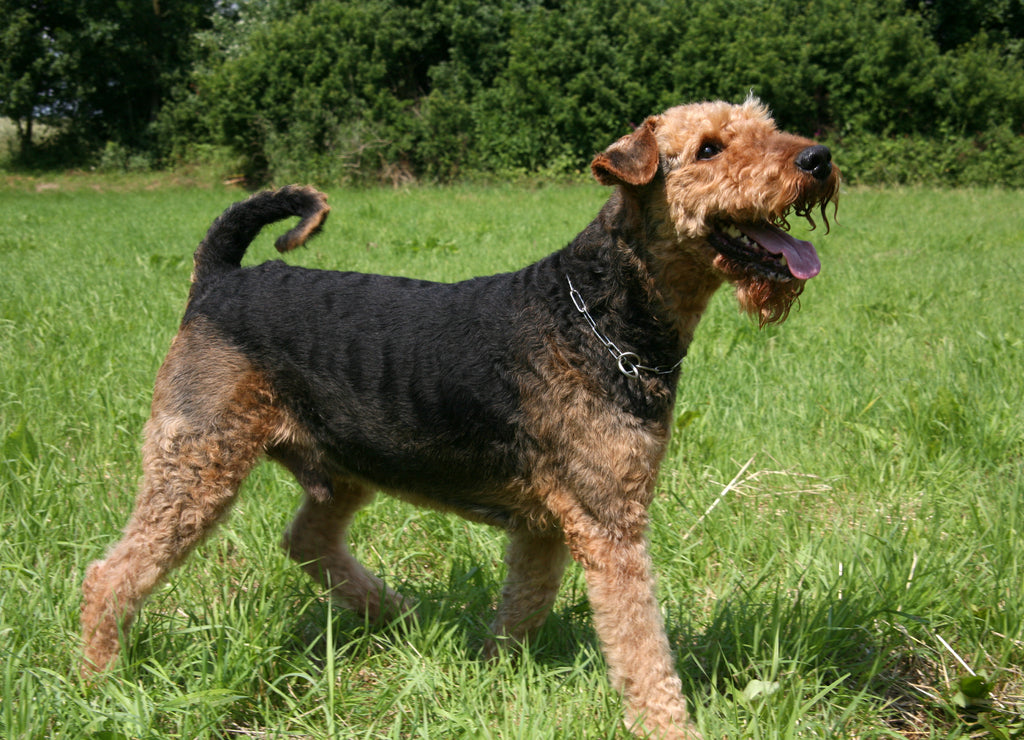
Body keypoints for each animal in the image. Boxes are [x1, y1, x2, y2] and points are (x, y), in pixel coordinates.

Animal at [81, 96, 839, 736]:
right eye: (709, 148)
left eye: (766, 124)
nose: (818, 159)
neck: (602, 317)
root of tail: (220, 278)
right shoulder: (609, 521)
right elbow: (642, 649)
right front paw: (670, 726)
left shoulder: (547, 523)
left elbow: (524, 606)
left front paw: (493, 670)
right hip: (197, 461)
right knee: (110, 575)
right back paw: (99, 682)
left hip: (342, 465)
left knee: (306, 540)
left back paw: (405, 620)